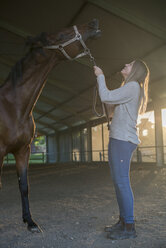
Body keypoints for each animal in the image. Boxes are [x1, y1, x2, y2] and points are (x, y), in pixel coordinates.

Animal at [0, 19, 100, 232]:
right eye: (61, 35)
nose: (93, 23)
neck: (13, 107)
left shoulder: (23, 150)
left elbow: (24, 186)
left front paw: (30, 222)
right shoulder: (0, 151)